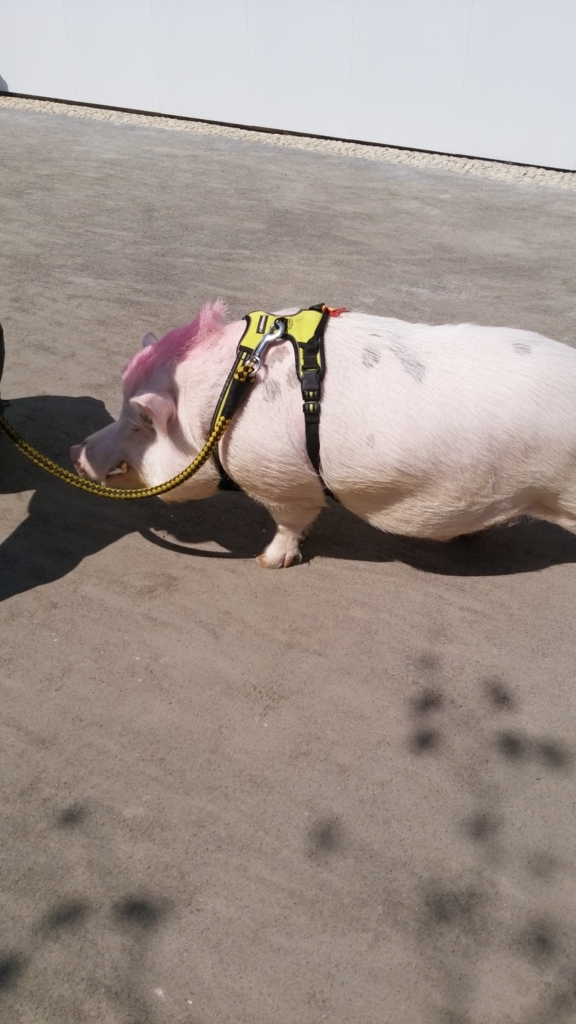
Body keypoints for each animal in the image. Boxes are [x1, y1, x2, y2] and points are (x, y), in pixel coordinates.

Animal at [71, 299, 576, 569]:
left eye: (139, 423)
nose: (77, 449)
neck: (222, 407)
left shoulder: (281, 480)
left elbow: (290, 522)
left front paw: (267, 562)